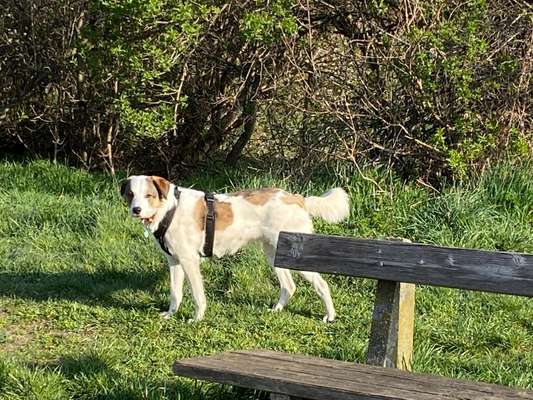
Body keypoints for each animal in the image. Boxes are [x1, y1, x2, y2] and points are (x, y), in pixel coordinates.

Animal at [120, 175, 350, 322]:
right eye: (131, 194)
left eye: (148, 195)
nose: (136, 210)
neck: (170, 209)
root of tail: (296, 197)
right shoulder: (174, 261)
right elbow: (175, 293)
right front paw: (171, 314)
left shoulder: (189, 261)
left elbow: (197, 296)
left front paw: (196, 319)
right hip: (274, 254)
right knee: (289, 286)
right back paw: (276, 309)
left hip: (296, 258)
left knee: (322, 284)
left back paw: (330, 316)